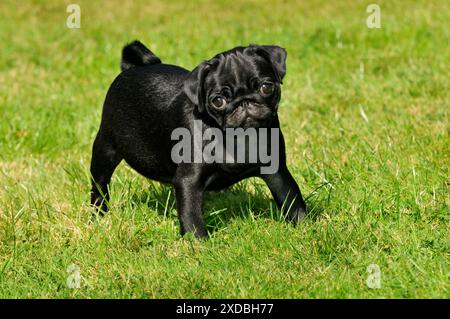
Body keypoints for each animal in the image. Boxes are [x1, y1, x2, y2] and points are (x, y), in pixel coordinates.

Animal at [89, 40, 308, 238]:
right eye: (218, 101)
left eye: (266, 87)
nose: (244, 102)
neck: (237, 138)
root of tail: (135, 67)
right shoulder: (189, 180)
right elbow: (191, 214)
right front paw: (198, 244)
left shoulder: (277, 171)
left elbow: (292, 199)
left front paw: (305, 229)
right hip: (105, 150)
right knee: (99, 186)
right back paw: (98, 217)